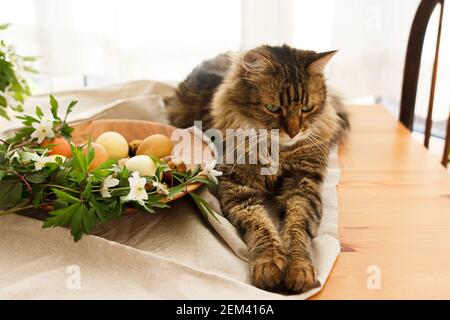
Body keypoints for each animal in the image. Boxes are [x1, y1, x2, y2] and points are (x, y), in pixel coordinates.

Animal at [165, 44, 348, 292]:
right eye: (273, 108)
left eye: (307, 108)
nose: (293, 133)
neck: (277, 150)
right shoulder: (240, 187)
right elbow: (261, 226)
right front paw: (269, 266)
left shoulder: (302, 183)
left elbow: (297, 228)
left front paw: (299, 270)